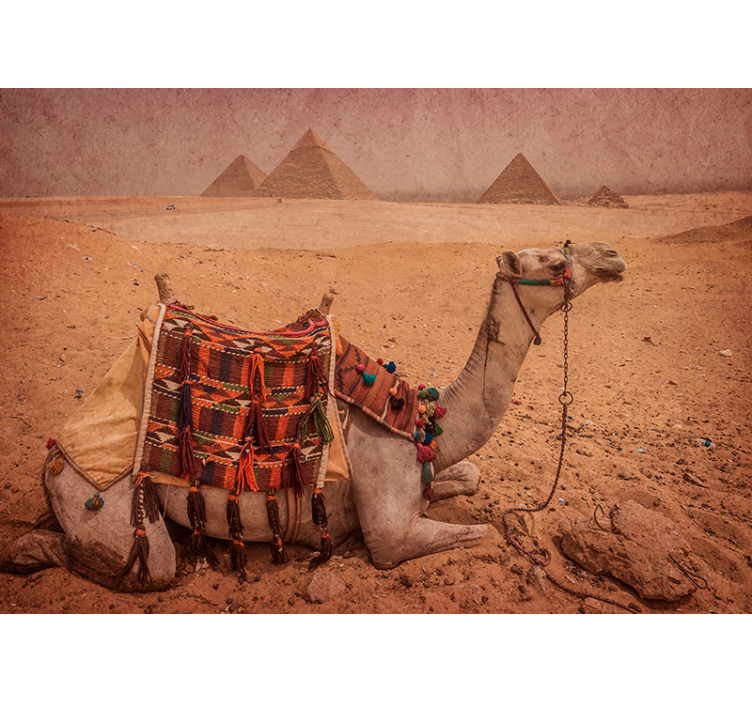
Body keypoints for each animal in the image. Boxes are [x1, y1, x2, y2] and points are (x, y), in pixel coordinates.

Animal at [0, 241, 626, 592]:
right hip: (104, 497)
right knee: (139, 564)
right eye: (553, 260)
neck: (416, 423)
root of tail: (57, 451)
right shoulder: (391, 537)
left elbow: (469, 477)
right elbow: (482, 533)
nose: (612, 256)